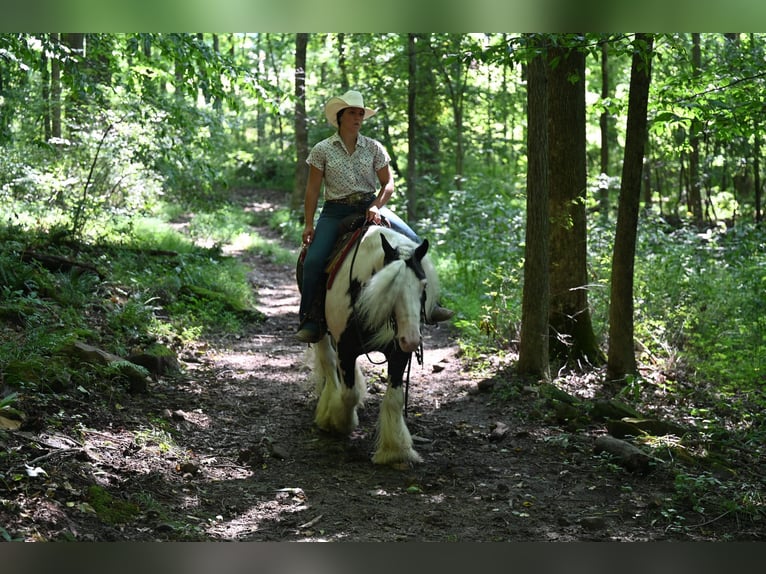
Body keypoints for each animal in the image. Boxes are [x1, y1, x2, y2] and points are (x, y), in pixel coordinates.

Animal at [312, 227, 440, 466]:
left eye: (424, 285)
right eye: (391, 287)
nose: (412, 340)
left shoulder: (399, 353)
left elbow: (395, 399)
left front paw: (396, 450)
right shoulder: (346, 349)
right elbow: (349, 394)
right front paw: (341, 423)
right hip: (321, 333)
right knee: (328, 362)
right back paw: (326, 413)